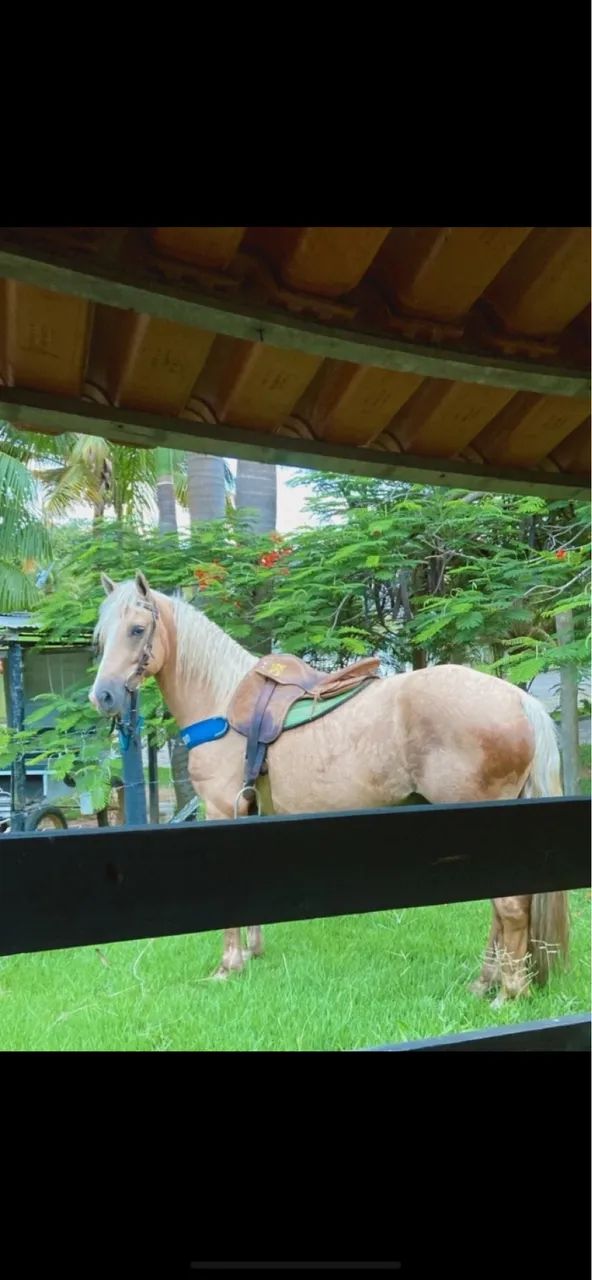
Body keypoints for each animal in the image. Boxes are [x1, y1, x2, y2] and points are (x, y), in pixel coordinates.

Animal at [89, 571, 569, 1002]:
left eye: (137, 629)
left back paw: (509, 993)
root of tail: (519, 700)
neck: (221, 704)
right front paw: (253, 954)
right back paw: (484, 984)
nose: (104, 696)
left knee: (510, 907)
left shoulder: (222, 810)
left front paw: (228, 967)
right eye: (101, 636)